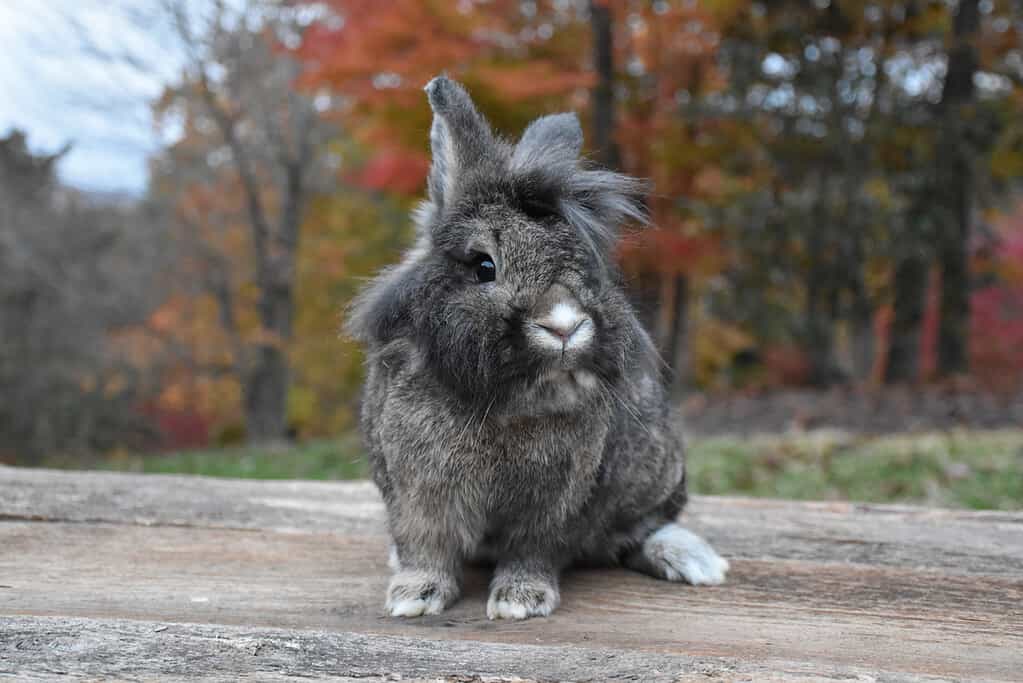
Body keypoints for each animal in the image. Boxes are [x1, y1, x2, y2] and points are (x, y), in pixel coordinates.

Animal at [347, 74, 732, 617]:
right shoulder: (418, 495)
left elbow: (533, 551)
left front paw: (519, 601)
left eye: (589, 266)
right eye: (484, 266)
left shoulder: (553, 506)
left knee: (640, 531)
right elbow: (427, 547)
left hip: (652, 473)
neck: (506, 403)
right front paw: (414, 597)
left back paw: (693, 561)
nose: (565, 325)